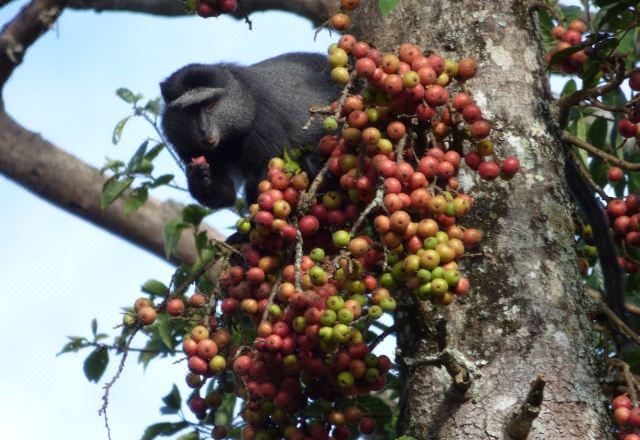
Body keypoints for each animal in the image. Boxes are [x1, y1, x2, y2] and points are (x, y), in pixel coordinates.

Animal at [160, 51, 340, 210]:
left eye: (210, 104)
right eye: (189, 110)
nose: (204, 129)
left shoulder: (261, 117)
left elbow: (263, 175)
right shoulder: (186, 148)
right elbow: (226, 194)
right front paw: (200, 179)